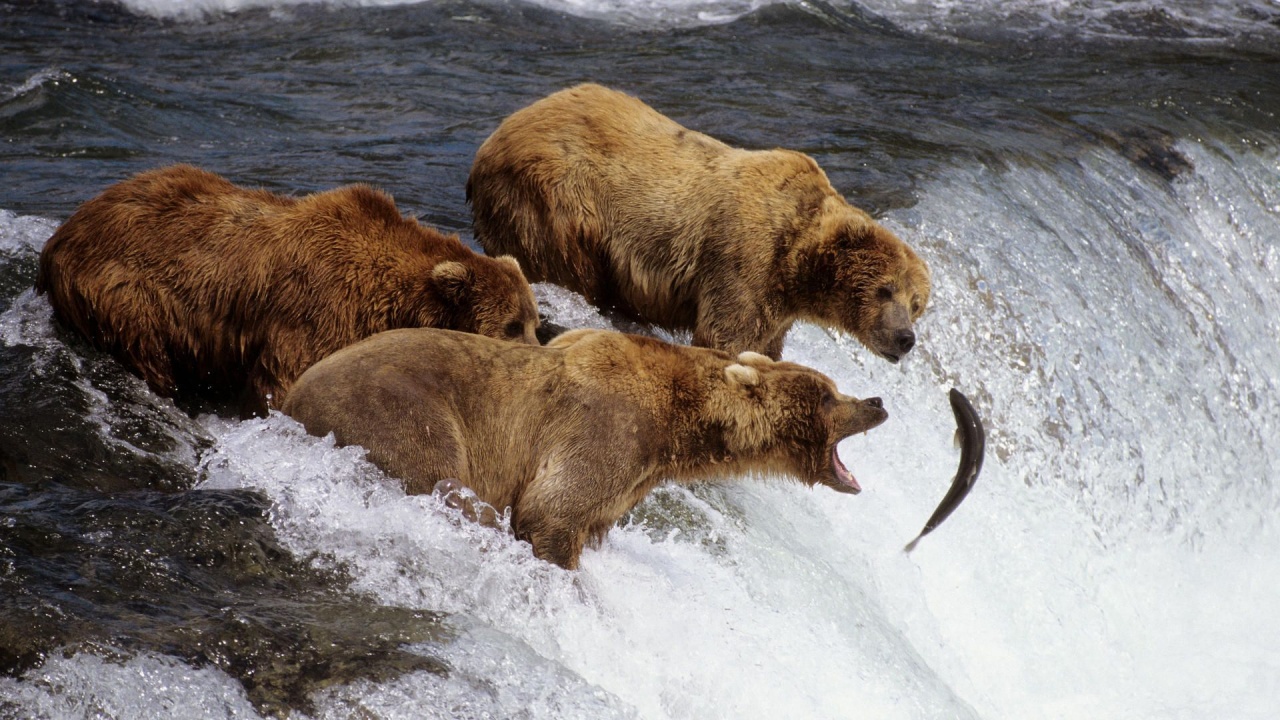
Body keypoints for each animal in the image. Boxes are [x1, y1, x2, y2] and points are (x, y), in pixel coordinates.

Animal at [35, 161, 535, 409]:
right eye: (511, 325)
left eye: (533, 322)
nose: (537, 354)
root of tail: (59, 236)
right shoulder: (319, 309)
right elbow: (285, 378)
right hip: (125, 290)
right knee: (146, 349)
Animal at [281, 325, 885, 566]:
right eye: (828, 395)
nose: (877, 401)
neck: (679, 424)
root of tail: (289, 397)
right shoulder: (607, 428)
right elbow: (551, 509)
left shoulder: (632, 476)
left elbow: (590, 519)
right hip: (400, 412)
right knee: (445, 482)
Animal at [468, 83, 931, 361]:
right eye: (884, 289)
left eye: (916, 304)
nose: (905, 338)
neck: (796, 264)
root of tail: (494, 138)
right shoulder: (744, 261)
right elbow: (727, 337)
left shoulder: (778, 306)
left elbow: (765, 346)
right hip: (556, 199)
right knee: (566, 265)